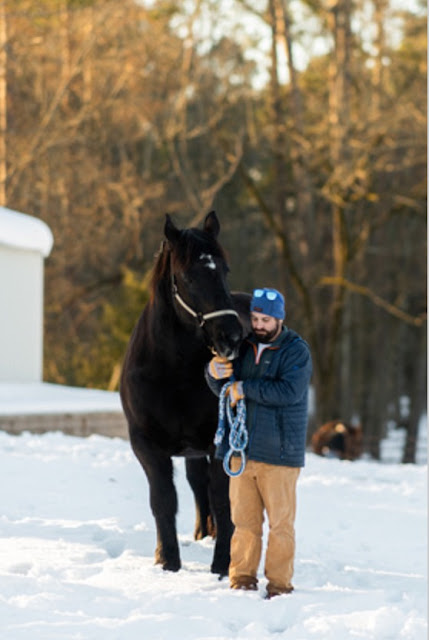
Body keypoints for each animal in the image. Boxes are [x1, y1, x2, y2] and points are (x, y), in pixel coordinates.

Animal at [120, 211, 250, 576]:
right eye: (188, 277)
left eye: (224, 270)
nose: (231, 337)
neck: (173, 372)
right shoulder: (146, 445)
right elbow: (164, 500)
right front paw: (168, 561)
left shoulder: (221, 442)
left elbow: (223, 500)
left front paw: (222, 565)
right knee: (196, 483)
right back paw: (201, 533)